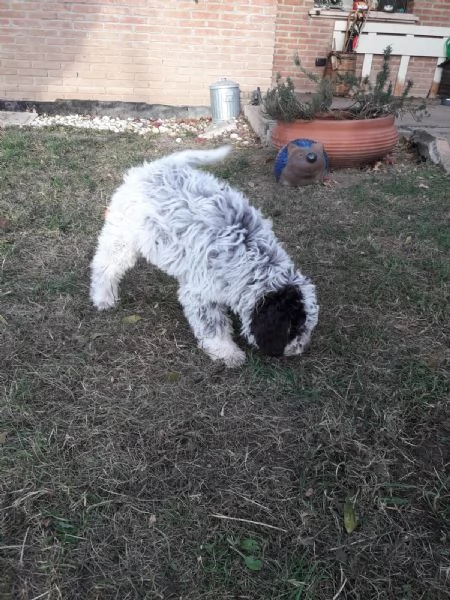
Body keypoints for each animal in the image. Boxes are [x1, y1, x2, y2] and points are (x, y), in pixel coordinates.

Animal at [89, 148, 318, 368]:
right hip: (122, 237)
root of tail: (149, 169)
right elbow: (213, 326)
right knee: (105, 266)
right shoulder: (200, 294)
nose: (302, 349)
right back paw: (103, 297)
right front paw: (228, 353)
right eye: (293, 329)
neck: (252, 260)